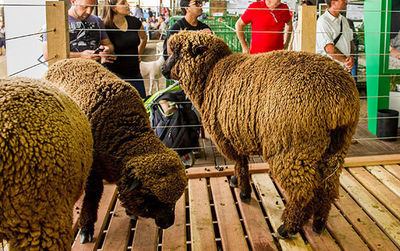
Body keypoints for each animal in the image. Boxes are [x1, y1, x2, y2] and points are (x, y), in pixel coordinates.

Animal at [44, 58, 188, 243]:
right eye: (151, 198)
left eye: (174, 201)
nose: (167, 224)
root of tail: (63, 61)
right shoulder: (93, 171)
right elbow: (92, 196)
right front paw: (86, 228)